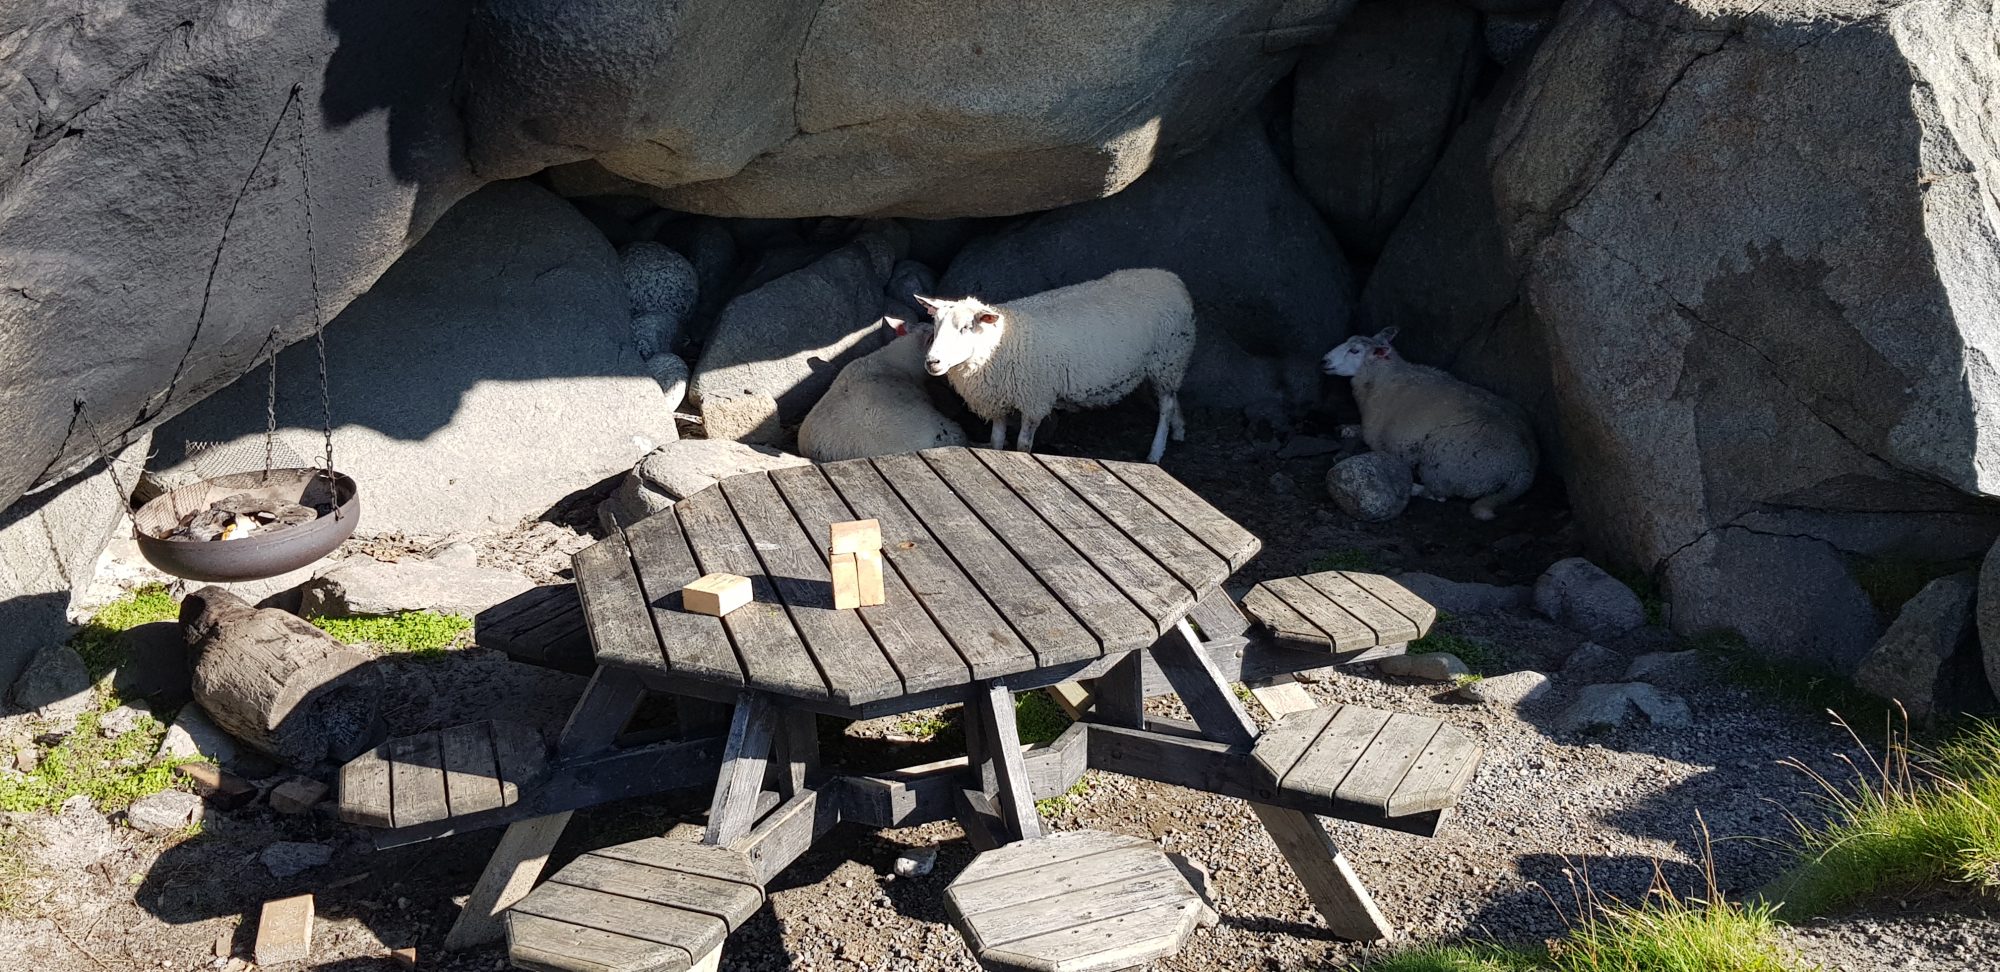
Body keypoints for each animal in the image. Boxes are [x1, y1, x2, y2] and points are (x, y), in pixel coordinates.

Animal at [915, 268, 1195, 463]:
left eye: (966, 327)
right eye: (935, 324)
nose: (932, 362)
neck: (1002, 344)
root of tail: (1171, 278)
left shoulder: (1034, 401)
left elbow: (1023, 445)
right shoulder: (997, 400)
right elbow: (995, 441)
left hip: (1169, 357)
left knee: (1166, 407)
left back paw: (1156, 451)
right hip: (1166, 364)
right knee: (1172, 398)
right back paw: (1179, 429)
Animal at [1321, 326, 1537, 520]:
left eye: (1354, 350)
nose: (1324, 360)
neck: (1382, 379)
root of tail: (1523, 470)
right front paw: (1346, 429)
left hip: (1443, 463)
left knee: (1439, 493)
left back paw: (1415, 488)